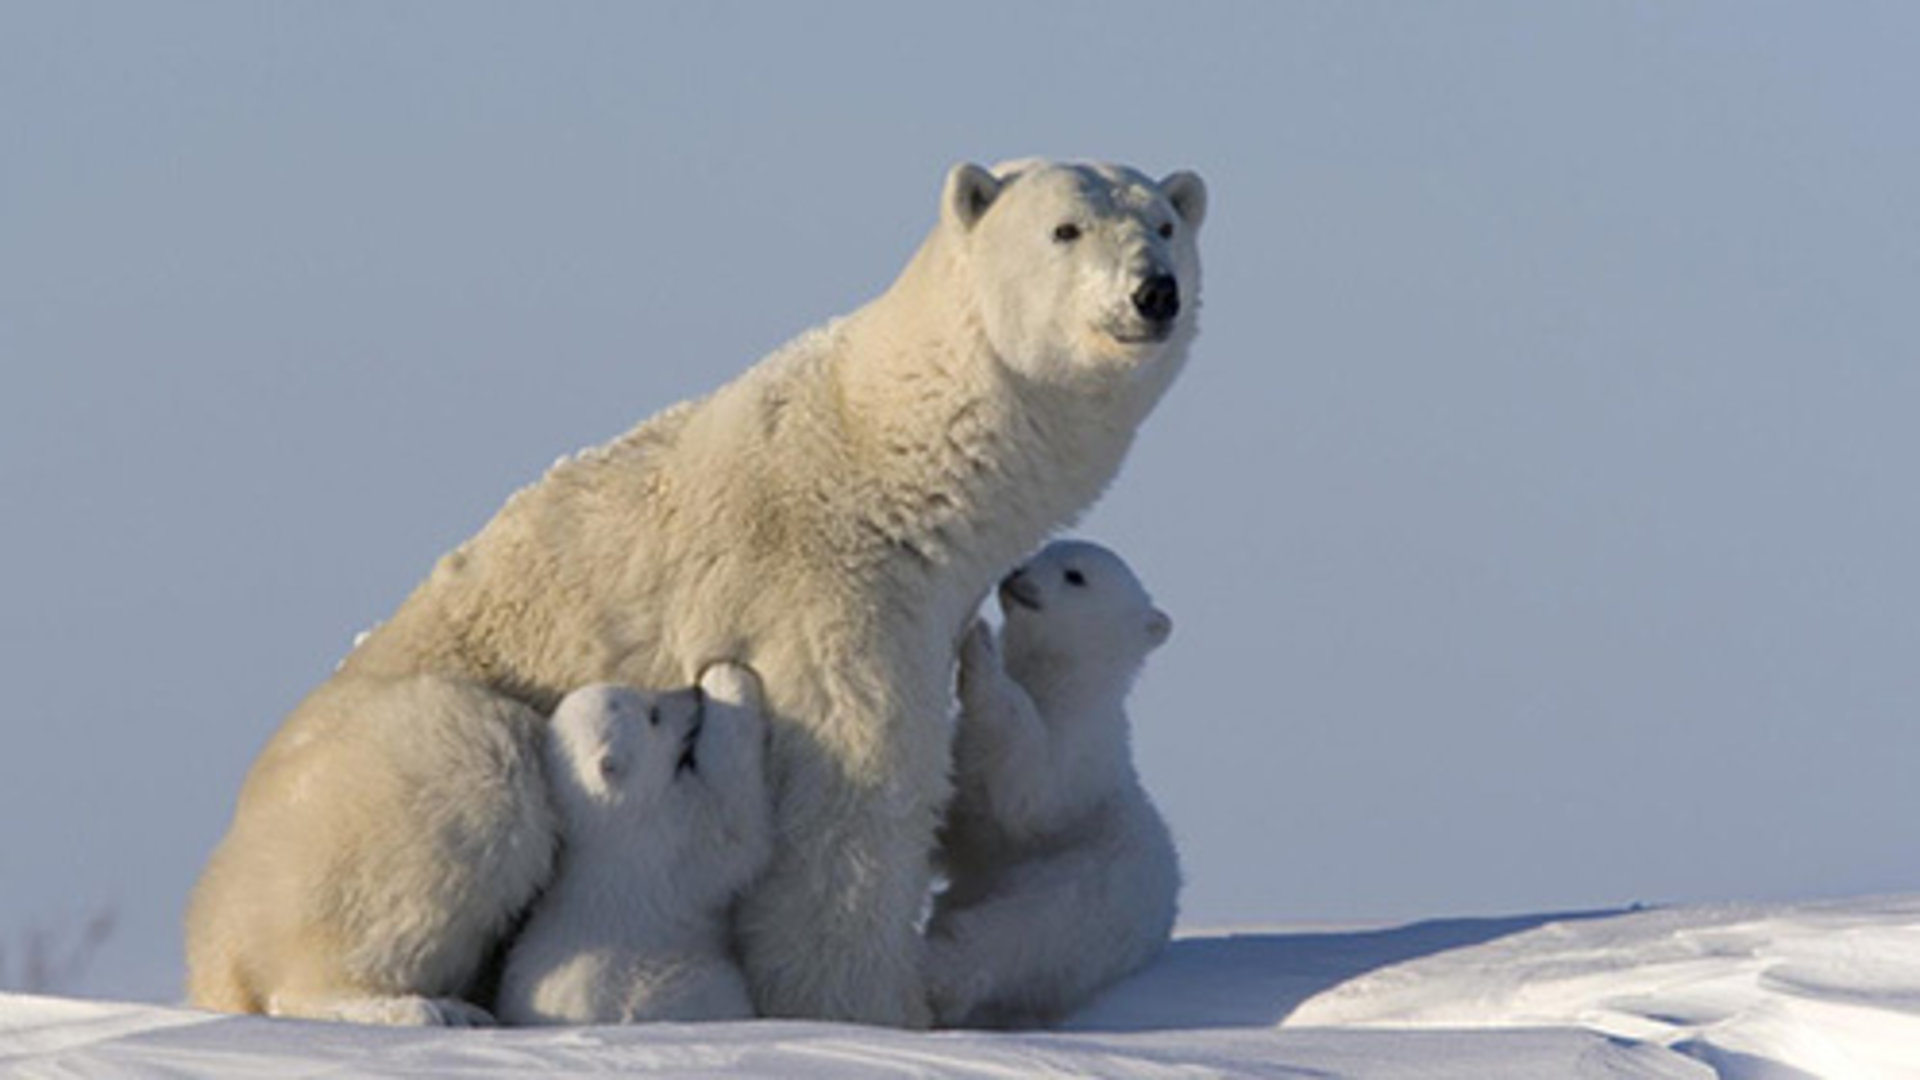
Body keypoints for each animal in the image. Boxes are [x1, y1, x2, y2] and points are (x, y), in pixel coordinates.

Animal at [499, 661, 775, 1022]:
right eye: (653, 715)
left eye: (643, 693)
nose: (692, 692)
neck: (607, 820)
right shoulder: (668, 841)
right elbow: (735, 825)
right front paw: (727, 676)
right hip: (677, 980)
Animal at [929, 538, 1182, 1022]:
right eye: (1042, 549)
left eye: (1075, 575)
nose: (1015, 573)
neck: (1063, 687)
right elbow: (964, 820)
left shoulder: (1078, 763)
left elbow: (1029, 793)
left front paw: (980, 646)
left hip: (1078, 901)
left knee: (1010, 933)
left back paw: (938, 971)